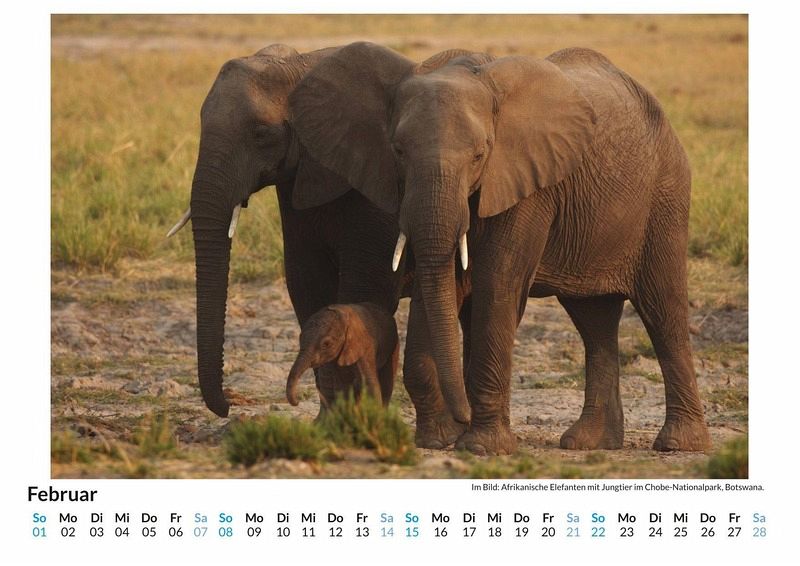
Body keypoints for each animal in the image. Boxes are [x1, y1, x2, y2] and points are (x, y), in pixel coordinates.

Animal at [168, 44, 487, 419]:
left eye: (260, 133)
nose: (228, 406)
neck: (302, 67)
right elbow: (306, 285)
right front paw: (329, 419)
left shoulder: (378, 189)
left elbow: (363, 289)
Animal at [289, 41, 712, 455]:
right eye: (398, 151)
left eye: (480, 154)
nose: (460, 418)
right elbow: (446, 282)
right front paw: (452, 438)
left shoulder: (528, 180)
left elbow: (498, 280)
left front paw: (481, 447)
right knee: (594, 320)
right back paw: (589, 443)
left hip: (666, 196)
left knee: (662, 309)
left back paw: (679, 444)